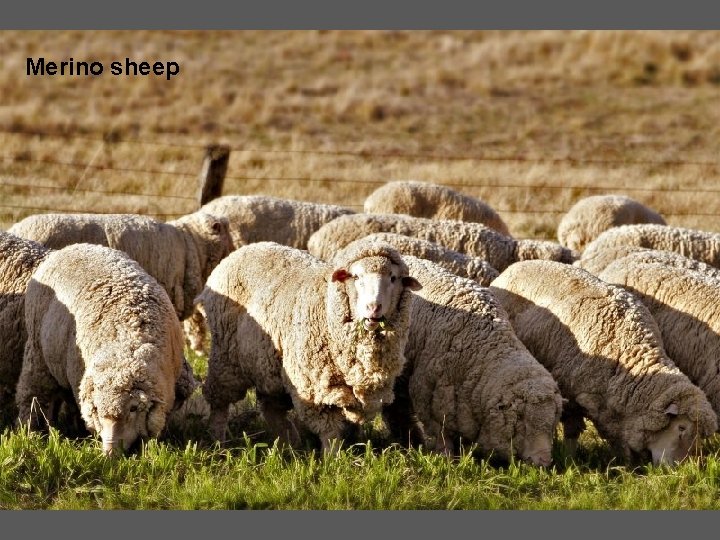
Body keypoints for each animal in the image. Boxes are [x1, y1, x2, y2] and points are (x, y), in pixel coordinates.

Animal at [15, 243, 185, 455]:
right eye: (97, 409)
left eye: (133, 408)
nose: (109, 453)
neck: (126, 342)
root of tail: (71, 247)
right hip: (37, 352)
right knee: (34, 394)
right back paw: (30, 431)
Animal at [198, 240, 422, 451]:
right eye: (356, 277)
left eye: (393, 278)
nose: (373, 308)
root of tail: (241, 250)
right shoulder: (314, 388)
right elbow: (330, 431)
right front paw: (333, 458)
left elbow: (349, 426)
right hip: (225, 356)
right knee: (220, 402)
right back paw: (218, 440)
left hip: (267, 365)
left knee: (270, 406)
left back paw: (288, 443)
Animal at [379, 255, 563, 466]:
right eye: (522, 422)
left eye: (552, 423)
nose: (543, 462)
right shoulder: (429, 397)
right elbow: (440, 434)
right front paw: (445, 459)